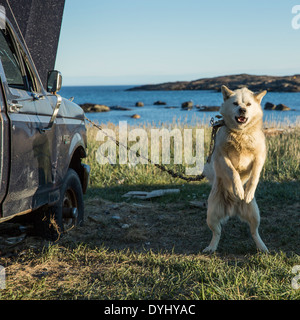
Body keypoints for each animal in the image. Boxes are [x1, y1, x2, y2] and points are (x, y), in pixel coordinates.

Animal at [203, 85, 268, 252]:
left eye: (249, 104)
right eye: (235, 103)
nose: (242, 110)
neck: (241, 133)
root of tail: (233, 207)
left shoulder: (260, 157)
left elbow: (254, 176)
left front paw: (247, 192)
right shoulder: (221, 157)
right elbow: (233, 172)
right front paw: (238, 189)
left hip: (255, 214)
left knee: (254, 231)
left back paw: (262, 247)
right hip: (211, 215)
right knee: (217, 232)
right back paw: (211, 248)